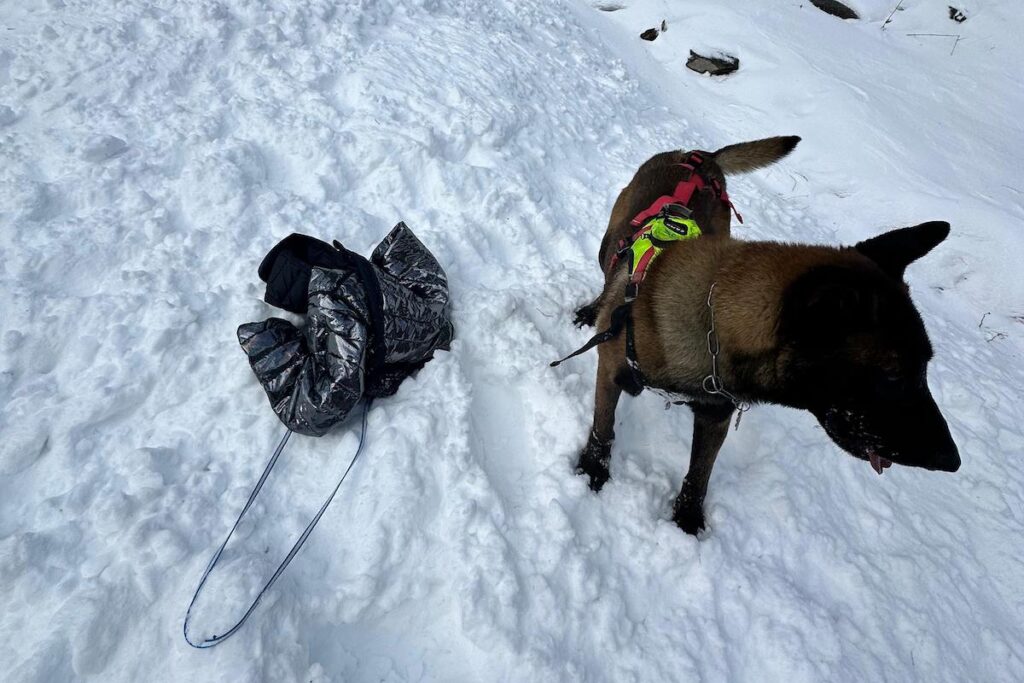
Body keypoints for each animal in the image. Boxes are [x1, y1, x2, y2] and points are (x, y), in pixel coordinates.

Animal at [569, 136, 958, 536]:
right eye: (893, 375)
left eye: (925, 366)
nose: (952, 460)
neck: (710, 320)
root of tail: (699, 157)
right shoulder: (611, 370)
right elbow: (604, 429)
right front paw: (593, 468)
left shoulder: (715, 416)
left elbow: (700, 474)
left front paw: (688, 518)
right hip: (610, 243)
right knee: (609, 273)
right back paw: (593, 309)